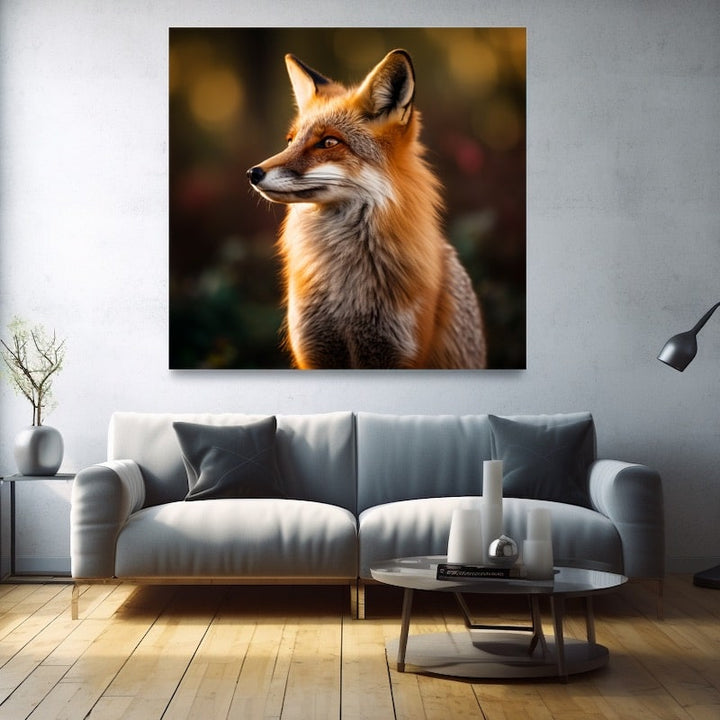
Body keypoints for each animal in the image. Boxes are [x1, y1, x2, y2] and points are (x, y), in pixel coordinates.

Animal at [247, 49, 487, 369]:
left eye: (329, 142)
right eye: (290, 141)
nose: (253, 173)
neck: (347, 297)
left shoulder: (398, 352)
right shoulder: (316, 351)